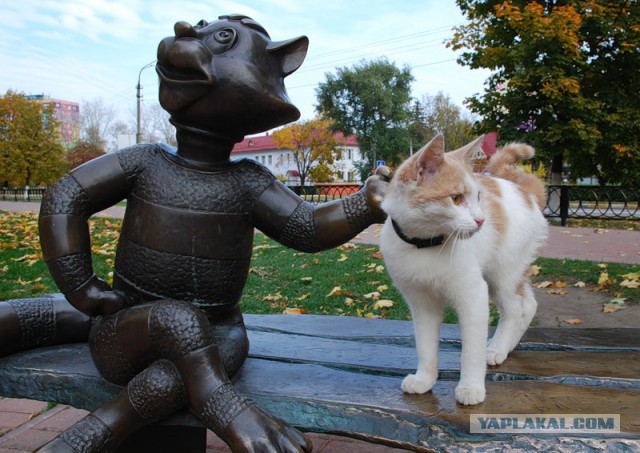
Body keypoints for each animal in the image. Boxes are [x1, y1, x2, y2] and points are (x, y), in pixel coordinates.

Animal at [380, 133, 552, 402]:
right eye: (456, 198)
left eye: (479, 198)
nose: (481, 220)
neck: (425, 244)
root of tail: (525, 191)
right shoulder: (421, 304)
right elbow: (426, 346)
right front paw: (424, 379)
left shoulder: (474, 296)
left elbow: (471, 350)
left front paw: (471, 387)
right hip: (513, 271)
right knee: (529, 303)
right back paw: (505, 347)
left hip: (502, 276)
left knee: (515, 309)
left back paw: (497, 348)